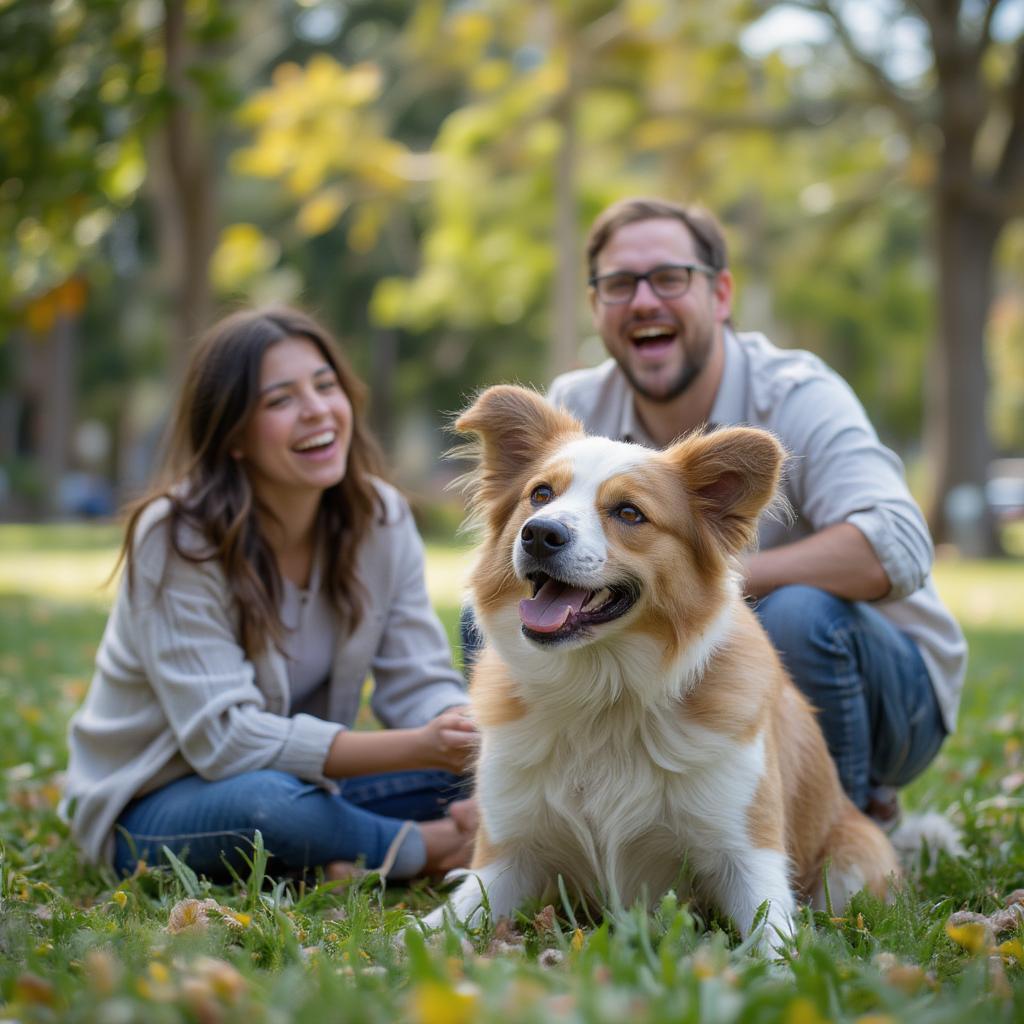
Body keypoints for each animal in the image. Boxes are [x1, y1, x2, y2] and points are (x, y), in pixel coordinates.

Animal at [421, 385, 897, 950]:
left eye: (629, 513)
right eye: (540, 495)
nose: (539, 534)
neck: (601, 693)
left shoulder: (747, 853)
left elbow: (773, 940)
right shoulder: (505, 856)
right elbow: (438, 923)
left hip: (851, 860)